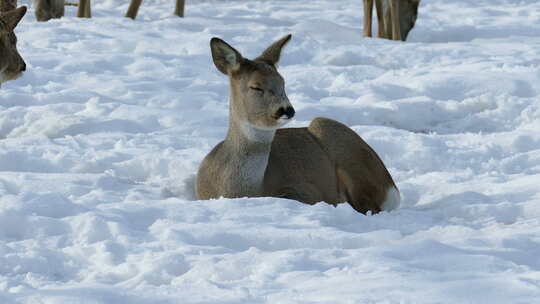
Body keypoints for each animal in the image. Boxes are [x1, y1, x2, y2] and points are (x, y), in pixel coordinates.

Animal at [196, 35, 398, 214]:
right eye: (256, 86)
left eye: (283, 83)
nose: (286, 109)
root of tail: (393, 189)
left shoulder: (308, 191)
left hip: (332, 134)